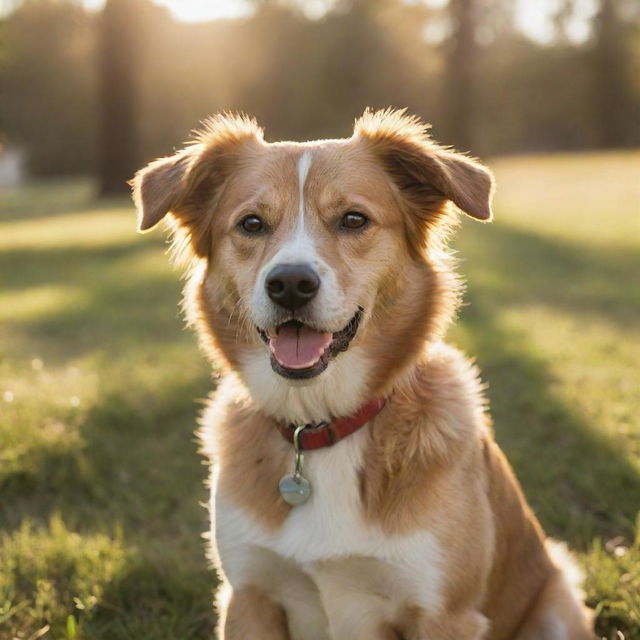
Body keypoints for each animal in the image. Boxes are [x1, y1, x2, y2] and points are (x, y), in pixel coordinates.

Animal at [130, 110, 596, 640]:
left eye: (354, 219)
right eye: (251, 223)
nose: (290, 283)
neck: (320, 425)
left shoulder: (445, 614)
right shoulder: (249, 596)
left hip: (556, 596)